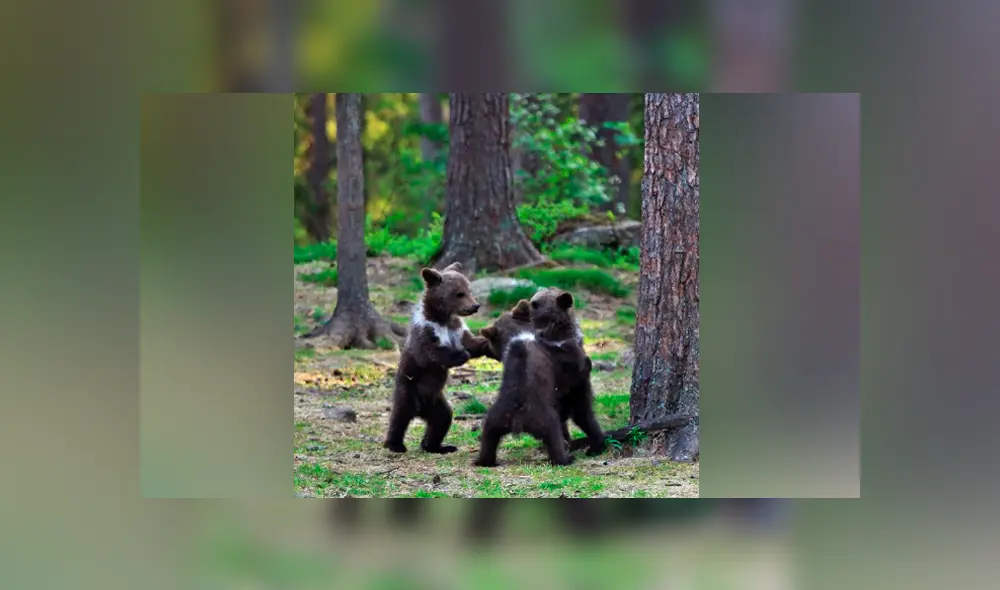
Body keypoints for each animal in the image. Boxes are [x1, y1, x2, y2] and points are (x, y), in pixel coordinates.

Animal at [382, 262, 492, 454]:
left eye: (469, 289)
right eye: (459, 293)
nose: (475, 306)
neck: (442, 318)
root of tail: (420, 410)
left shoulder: (456, 329)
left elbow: (471, 342)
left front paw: (488, 342)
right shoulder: (426, 331)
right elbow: (431, 354)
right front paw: (462, 355)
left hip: (436, 401)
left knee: (442, 419)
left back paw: (438, 446)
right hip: (408, 390)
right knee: (399, 417)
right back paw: (395, 444)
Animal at [473, 300, 593, 467]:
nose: (486, 349)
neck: (516, 336)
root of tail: (517, 419)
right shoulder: (554, 357)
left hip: (495, 418)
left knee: (488, 437)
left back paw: (483, 460)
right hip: (545, 419)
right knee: (554, 436)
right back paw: (566, 458)